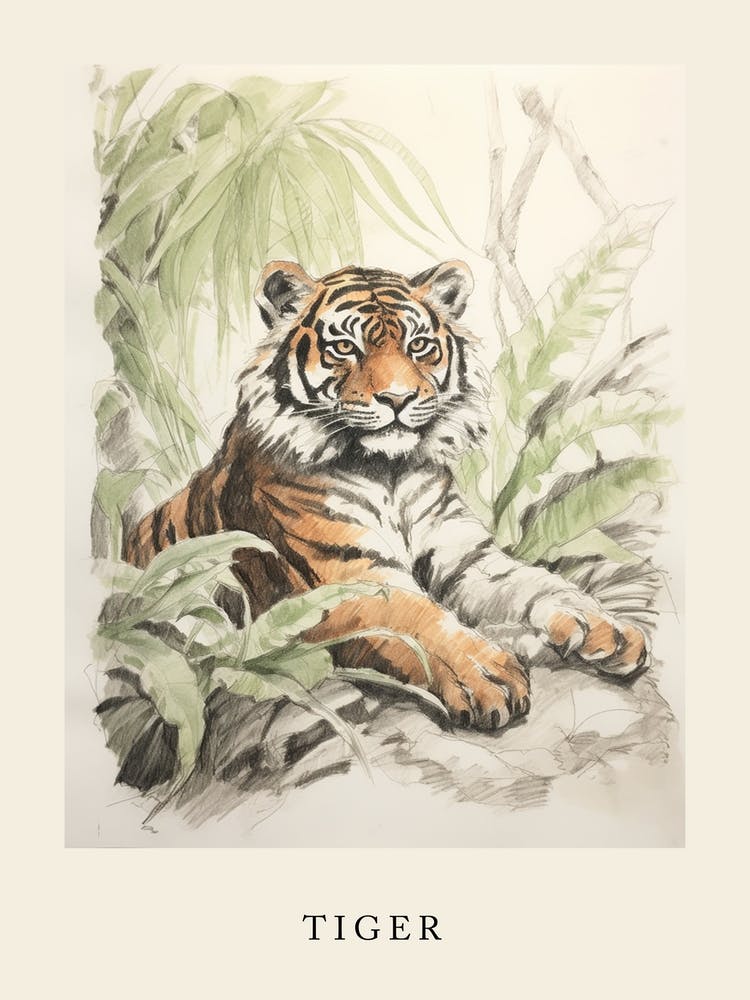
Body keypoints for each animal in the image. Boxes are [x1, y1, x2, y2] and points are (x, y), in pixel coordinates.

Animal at [124, 259, 649, 731]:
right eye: (344, 347)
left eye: (419, 346)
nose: (398, 399)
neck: (388, 472)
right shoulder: (350, 576)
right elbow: (420, 619)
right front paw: (486, 676)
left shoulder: (468, 556)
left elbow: (538, 582)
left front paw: (608, 629)